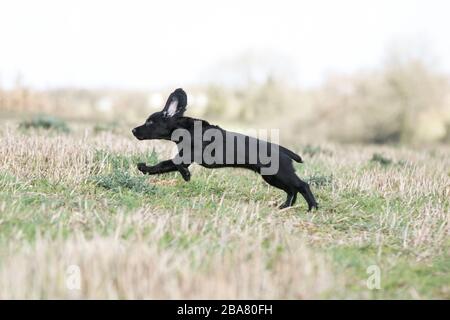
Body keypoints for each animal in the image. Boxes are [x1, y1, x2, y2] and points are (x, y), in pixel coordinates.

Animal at [132, 87, 318, 210]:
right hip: (272, 177)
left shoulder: (187, 156)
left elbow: (173, 165)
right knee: (292, 190)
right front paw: (144, 168)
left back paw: (312, 208)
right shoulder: (184, 157)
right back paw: (285, 206)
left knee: (302, 185)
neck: (186, 130)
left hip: (279, 174)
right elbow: (162, 166)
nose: (133, 130)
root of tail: (285, 151)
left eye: (149, 122)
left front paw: (186, 175)